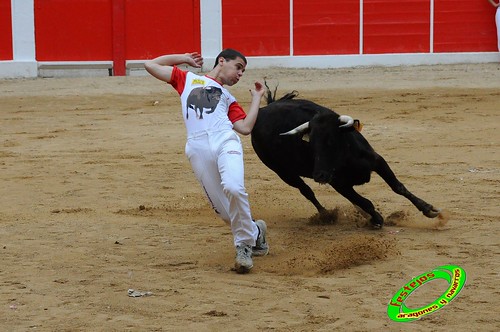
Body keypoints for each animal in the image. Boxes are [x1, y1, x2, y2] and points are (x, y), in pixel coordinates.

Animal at [252, 91, 440, 228]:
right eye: (311, 144)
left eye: (331, 141)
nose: (319, 175)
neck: (347, 157)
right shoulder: (338, 183)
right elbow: (365, 202)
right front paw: (376, 219)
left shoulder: (377, 161)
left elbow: (398, 187)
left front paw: (428, 209)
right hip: (284, 173)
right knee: (307, 191)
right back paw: (326, 215)